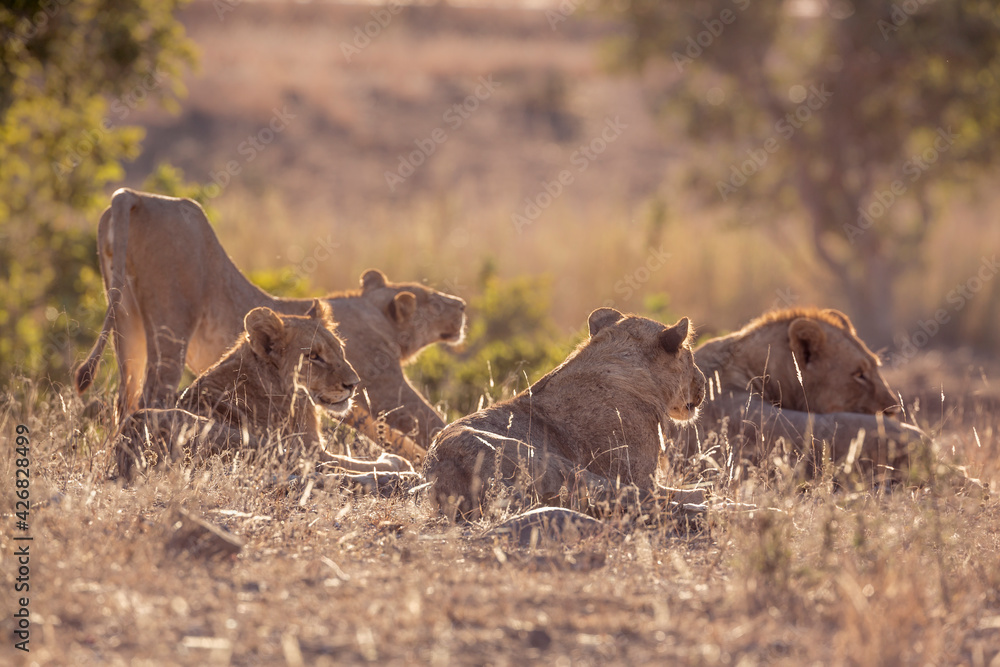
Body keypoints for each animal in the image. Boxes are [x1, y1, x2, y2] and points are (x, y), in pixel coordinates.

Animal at [74, 188, 465, 458]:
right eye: (432, 299)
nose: (461, 304)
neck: (372, 310)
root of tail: (135, 196)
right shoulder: (384, 385)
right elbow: (429, 422)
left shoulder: (355, 402)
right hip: (171, 321)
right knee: (152, 396)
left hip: (125, 320)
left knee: (123, 400)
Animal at [117, 300, 412, 480]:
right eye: (313, 357)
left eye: (339, 350)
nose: (353, 384)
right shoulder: (310, 448)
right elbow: (347, 461)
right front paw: (396, 461)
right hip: (246, 439)